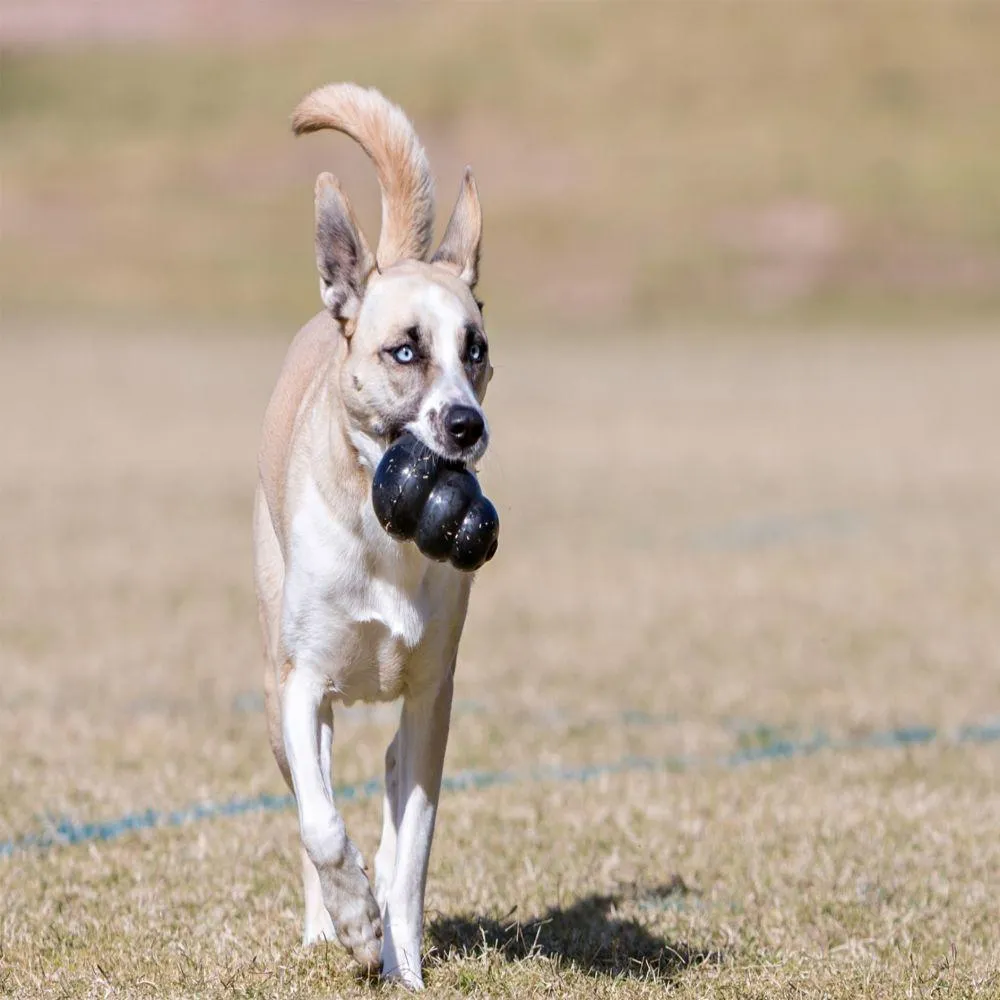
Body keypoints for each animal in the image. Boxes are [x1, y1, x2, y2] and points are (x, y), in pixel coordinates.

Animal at [254, 82, 492, 988]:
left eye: (476, 350)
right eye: (404, 352)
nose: (465, 426)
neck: (387, 531)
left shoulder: (433, 696)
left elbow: (414, 846)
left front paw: (403, 961)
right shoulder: (299, 683)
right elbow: (321, 822)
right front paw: (356, 922)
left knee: (390, 781)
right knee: (309, 794)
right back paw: (331, 924)